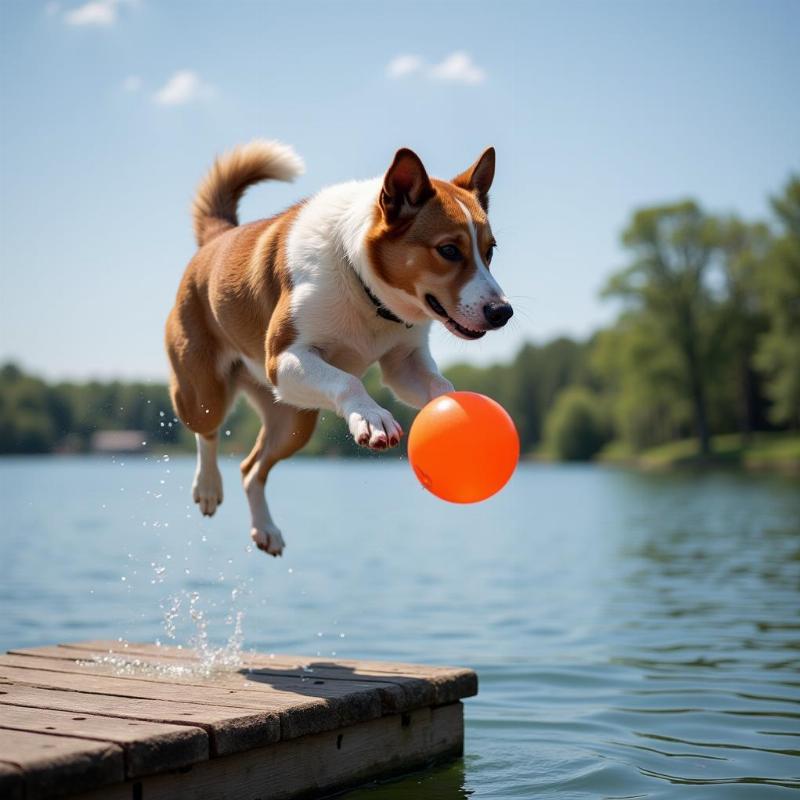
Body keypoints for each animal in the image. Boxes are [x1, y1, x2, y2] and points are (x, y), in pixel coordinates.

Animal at [165, 141, 512, 556]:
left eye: (490, 251)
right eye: (448, 250)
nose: (503, 312)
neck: (365, 289)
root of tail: (218, 237)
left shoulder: (404, 362)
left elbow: (439, 386)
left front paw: (458, 415)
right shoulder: (285, 357)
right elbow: (349, 381)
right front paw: (372, 418)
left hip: (294, 423)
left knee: (251, 470)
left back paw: (265, 528)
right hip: (206, 390)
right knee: (207, 429)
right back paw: (207, 487)